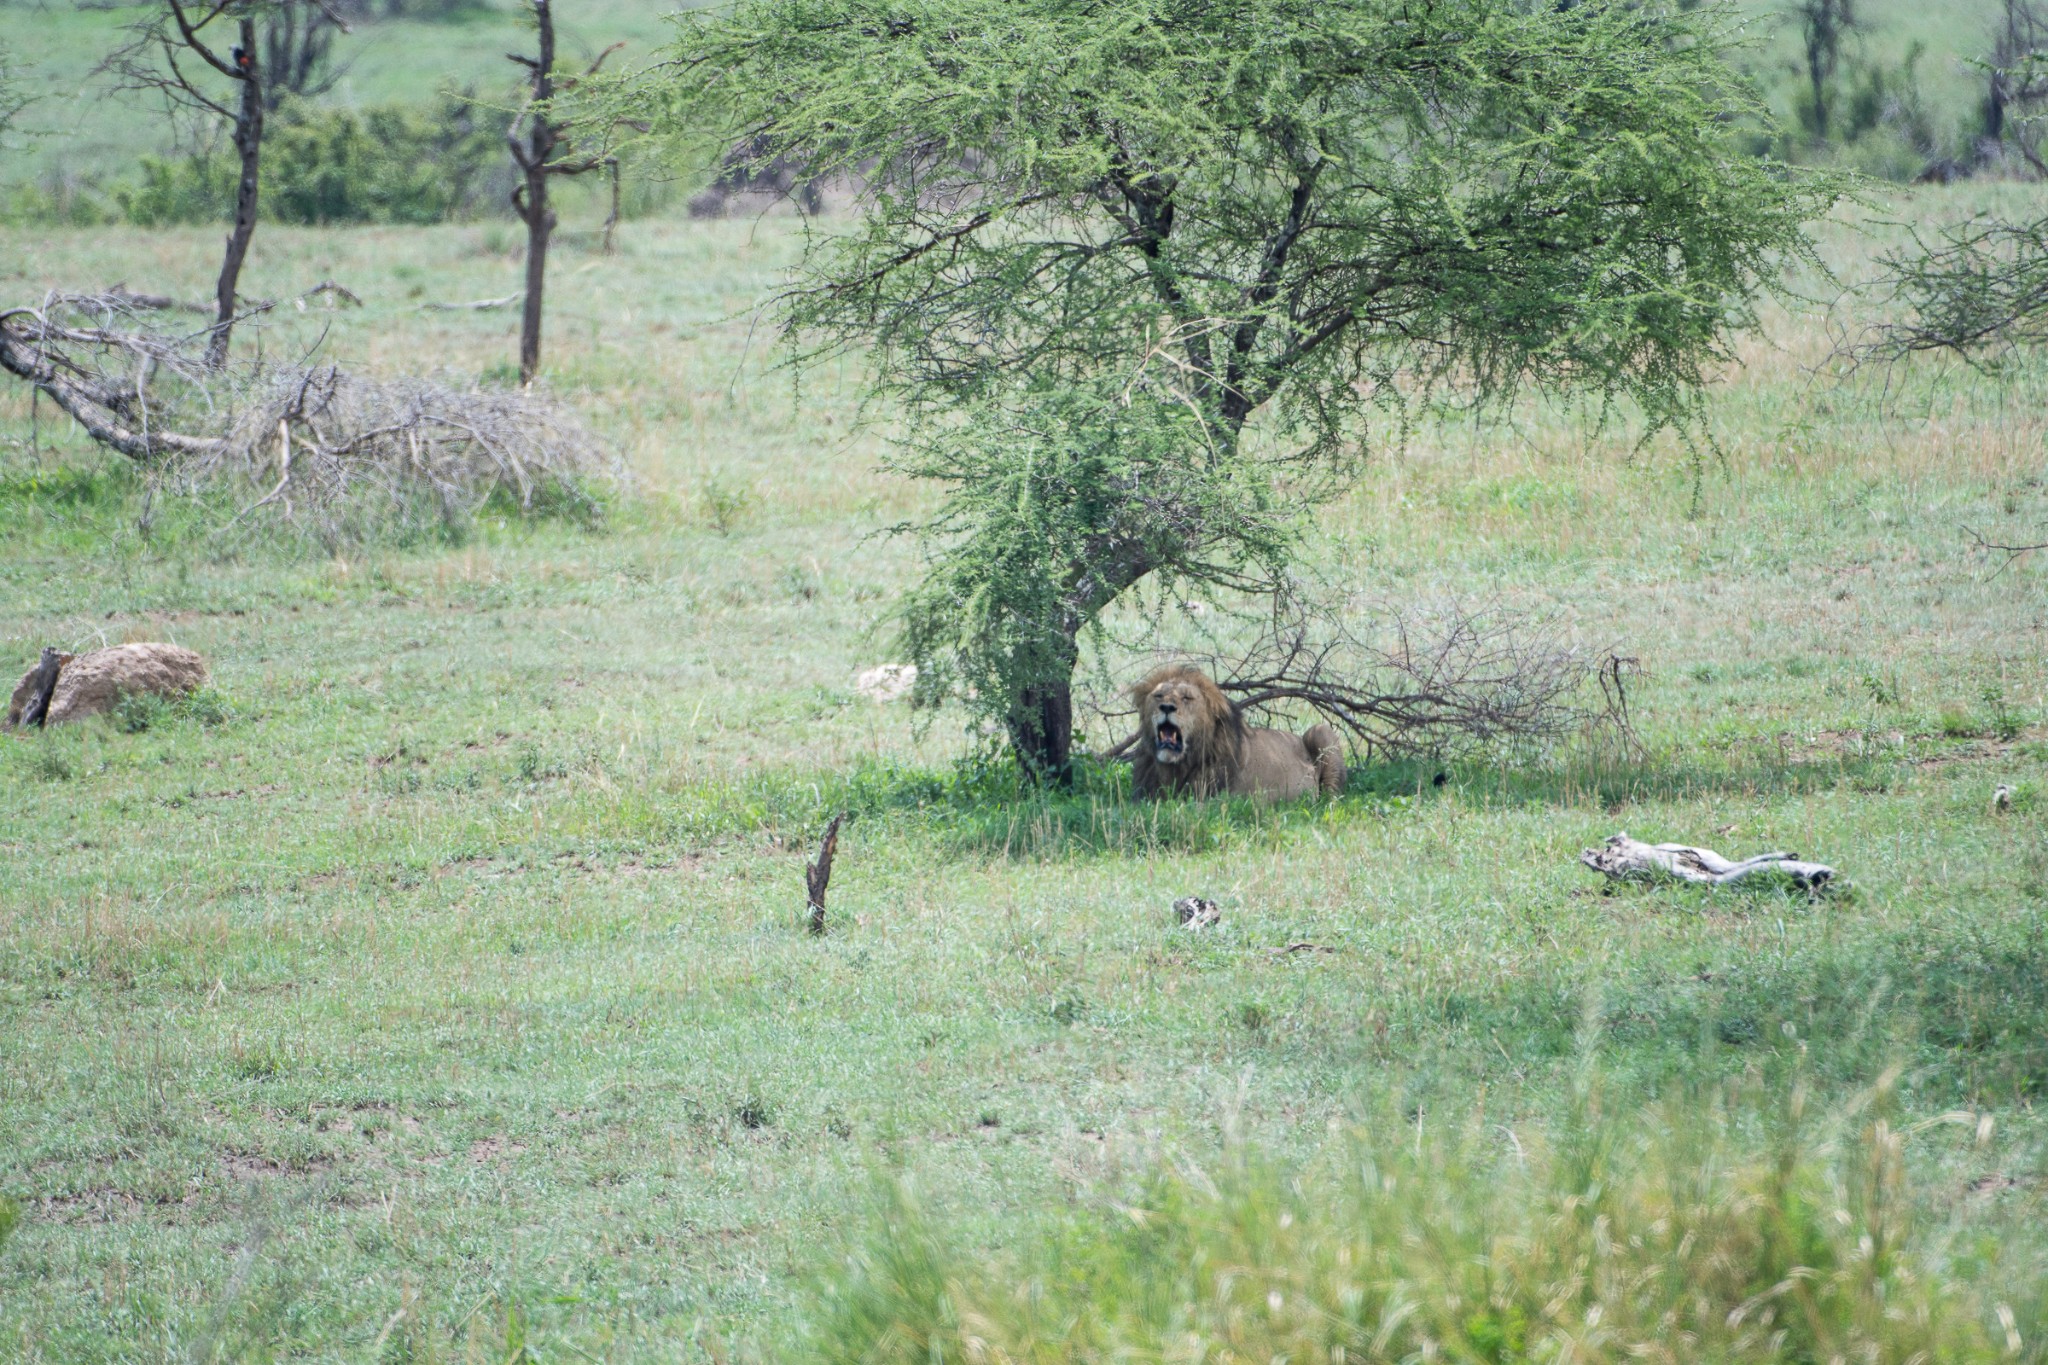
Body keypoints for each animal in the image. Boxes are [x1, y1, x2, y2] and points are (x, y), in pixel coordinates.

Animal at [1122, 671, 1343, 802]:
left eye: (1187, 698)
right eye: (1158, 696)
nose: (1166, 707)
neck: (1176, 766)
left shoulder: (1213, 800)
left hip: (1321, 730)